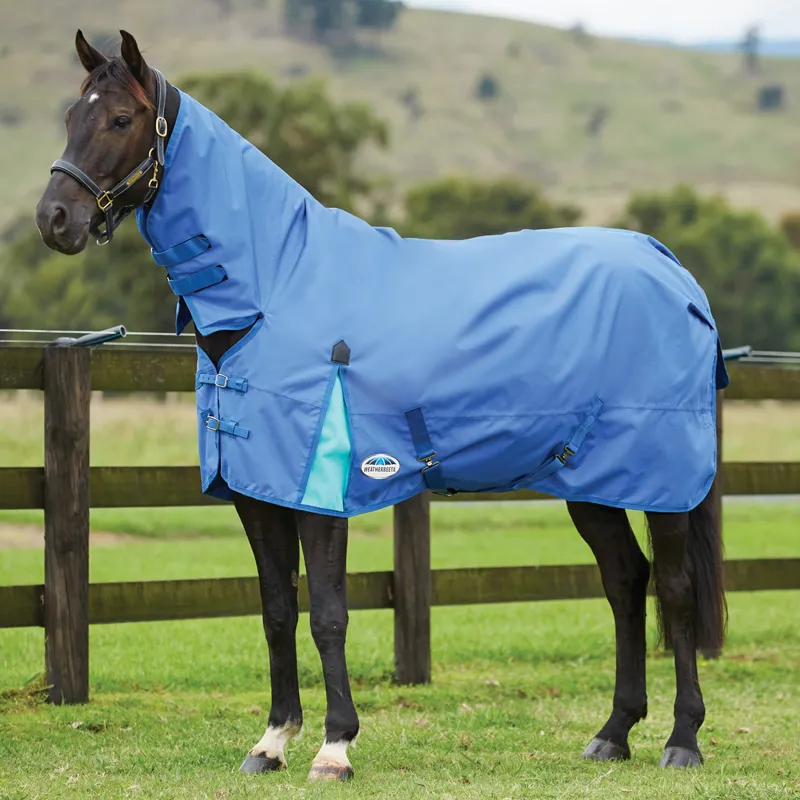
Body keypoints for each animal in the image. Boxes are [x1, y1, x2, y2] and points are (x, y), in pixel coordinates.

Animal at [35, 30, 727, 782]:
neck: (276, 289)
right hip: (591, 482)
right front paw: (271, 742)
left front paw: (334, 748)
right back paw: (613, 733)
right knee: (625, 582)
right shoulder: (257, 492)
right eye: (69, 115)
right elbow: (276, 610)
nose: (54, 219)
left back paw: (681, 741)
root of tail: (669, 266)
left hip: (664, 482)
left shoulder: (321, 490)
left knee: (675, 590)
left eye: (120, 120)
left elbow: (328, 613)